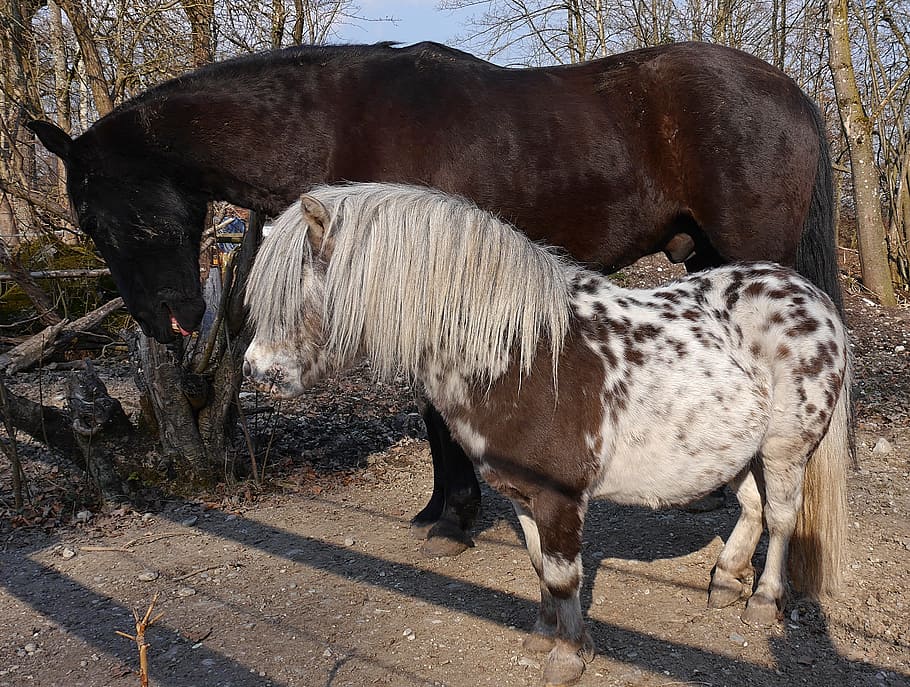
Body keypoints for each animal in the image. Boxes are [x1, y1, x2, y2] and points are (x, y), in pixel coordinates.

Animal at [27, 40, 841, 556]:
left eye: (98, 215)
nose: (170, 322)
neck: (339, 119)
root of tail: (791, 92)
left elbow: (436, 411)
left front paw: (453, 519)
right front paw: (441, 509)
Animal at [242, 183, 851, 686]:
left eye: (299, 293)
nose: (257, 371)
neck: (520, 356)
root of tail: (809, 295)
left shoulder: (559, 499)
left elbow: (562, 574)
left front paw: (567, 656)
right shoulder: (522, 495)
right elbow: (540, 567)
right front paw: (547, 636)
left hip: (785, 449)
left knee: (781, 517)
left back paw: (763, 599)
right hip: (735, 450)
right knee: (751, 507)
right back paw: (724, 579)